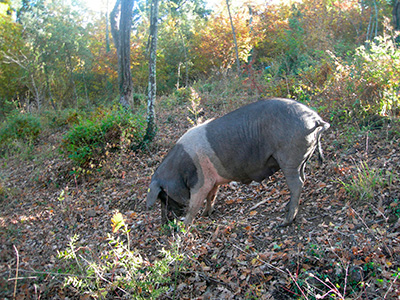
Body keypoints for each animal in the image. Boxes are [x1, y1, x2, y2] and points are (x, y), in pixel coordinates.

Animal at [145, 97, 330, 226]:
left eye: (162, 195)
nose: (164, 223)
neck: (179, 170)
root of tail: (314, 118)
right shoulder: (213, 180)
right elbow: (211, 197)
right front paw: (206, 214)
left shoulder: (201, 182)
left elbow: (194, 205)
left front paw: (185, 227)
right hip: (302, 157)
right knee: (303, 178)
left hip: (289, 157)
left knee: (297, 183)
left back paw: (285, 221)